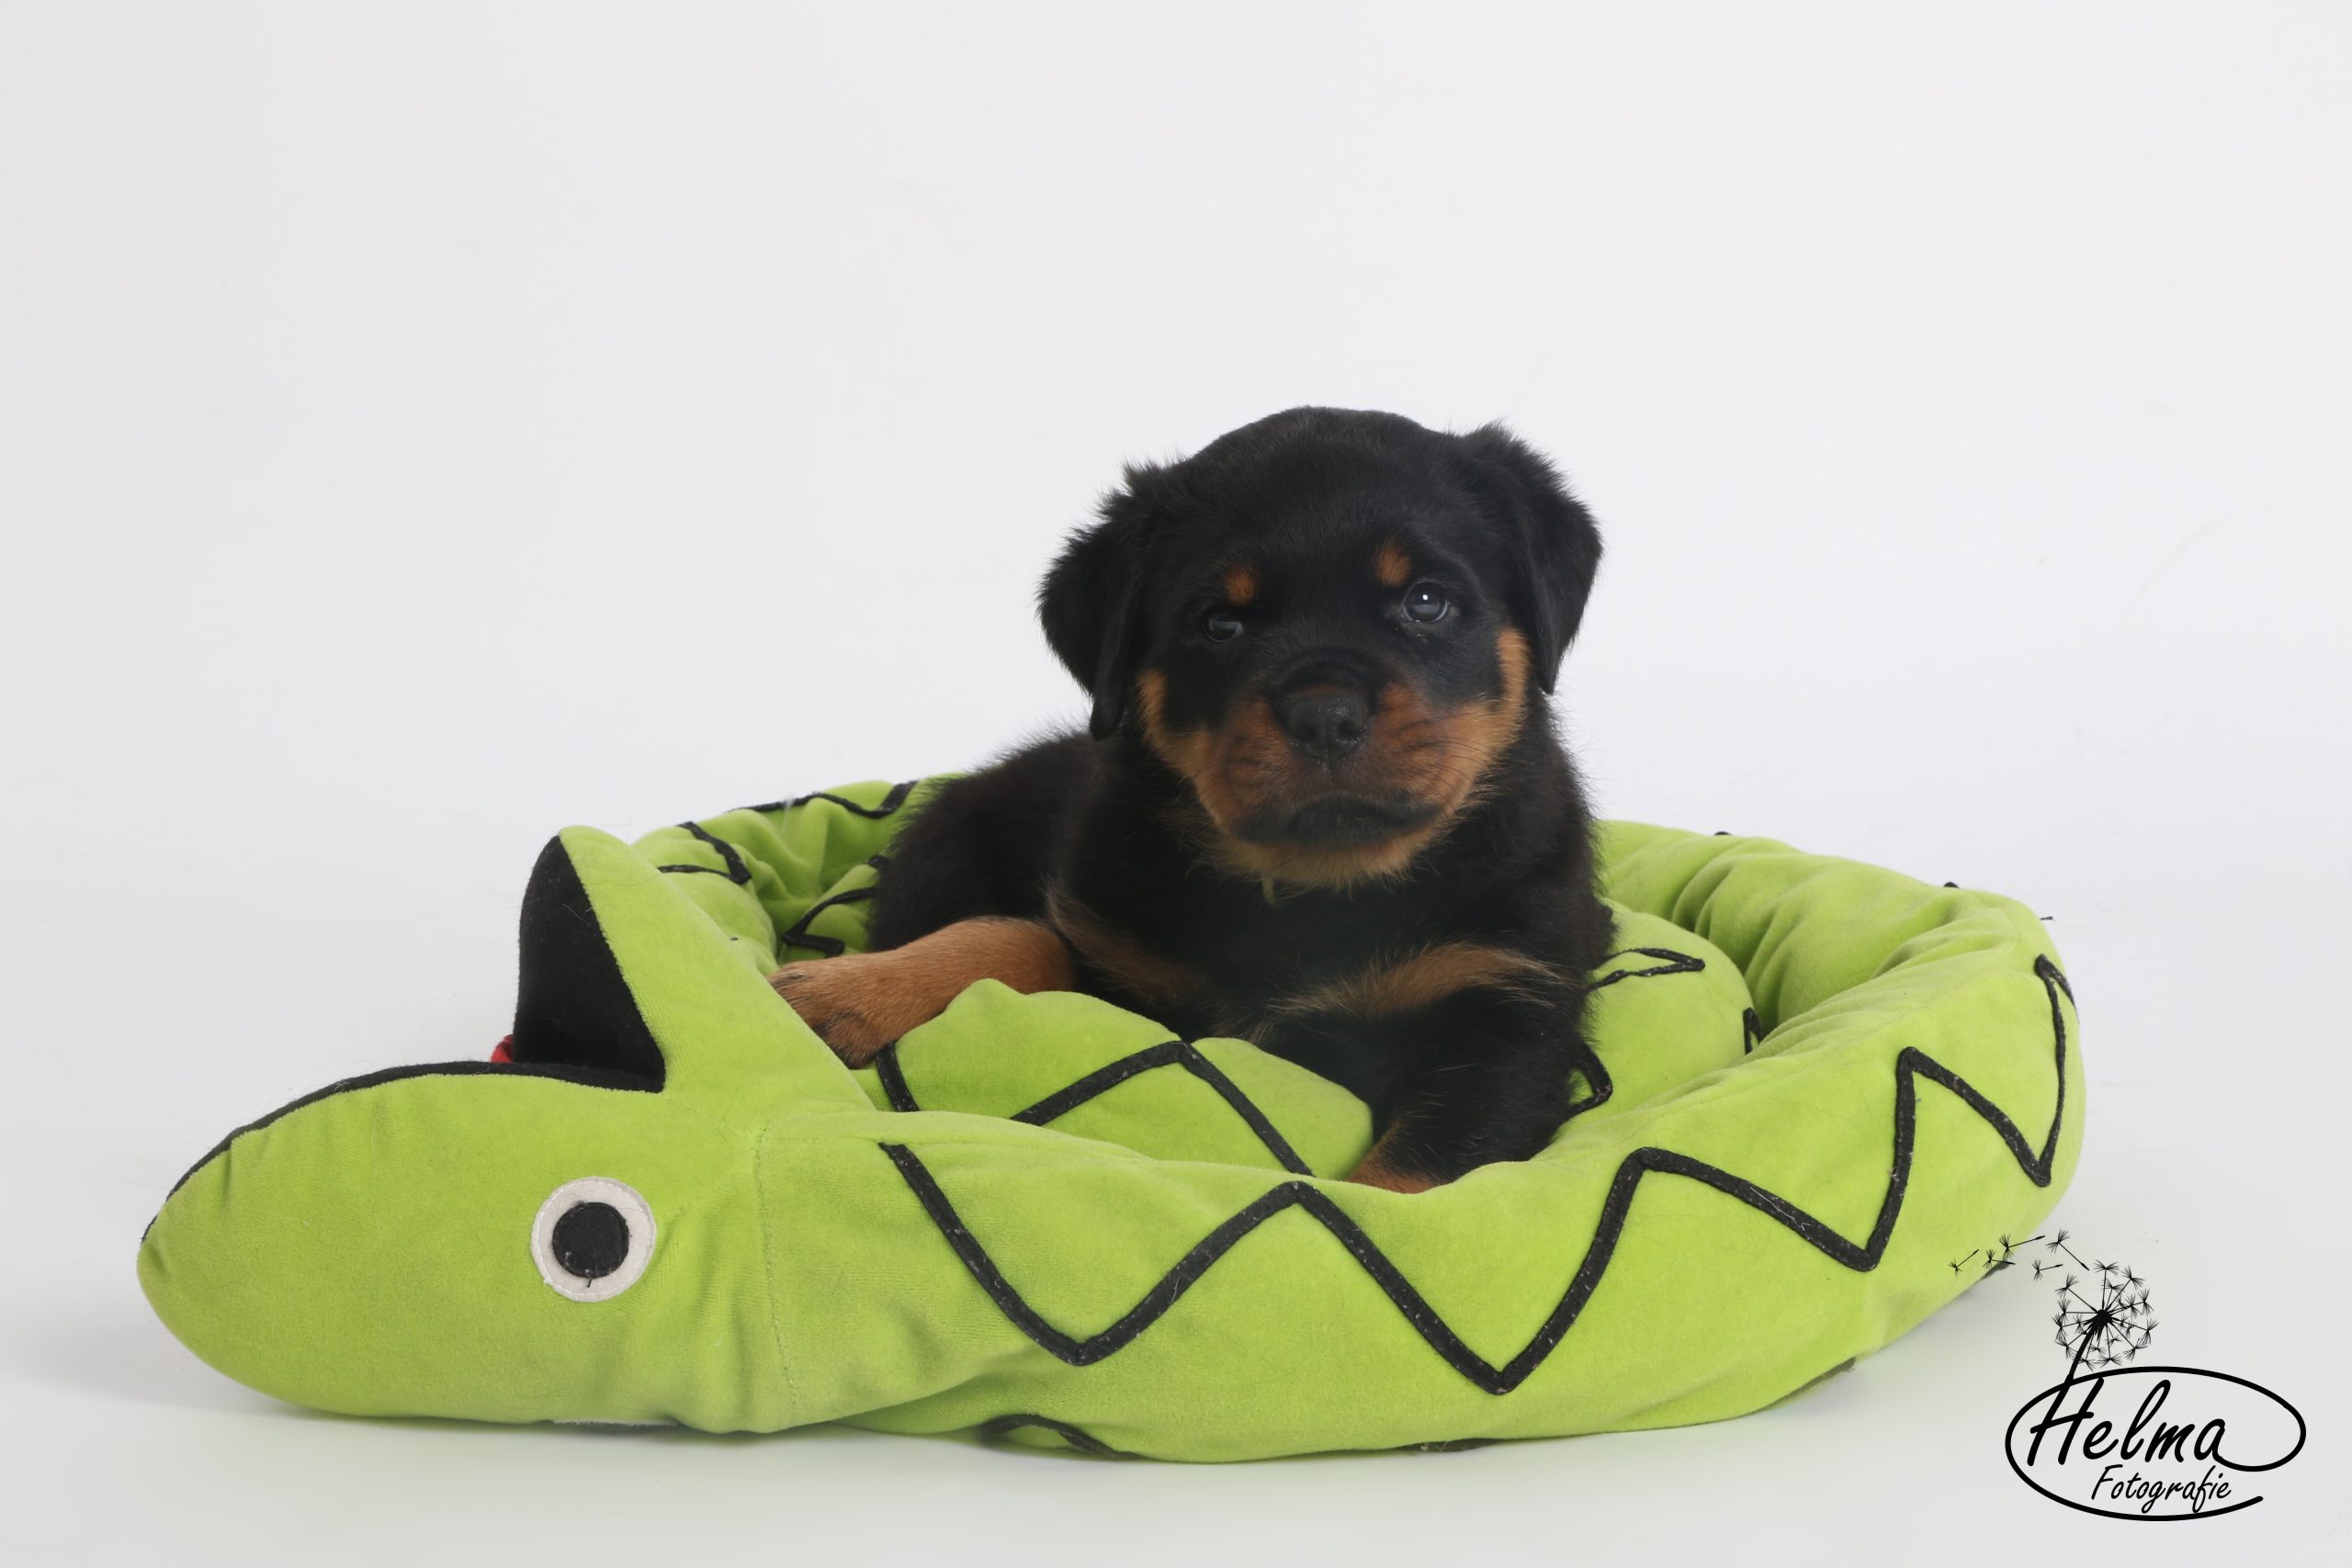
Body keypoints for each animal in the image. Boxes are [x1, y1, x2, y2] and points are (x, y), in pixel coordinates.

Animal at [770, 407, 1614, 1190]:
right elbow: (1013, 934)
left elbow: (1410, 1176)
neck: (1314, 890)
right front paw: (851, 989)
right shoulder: (1115, 957)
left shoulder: (1508, 1025)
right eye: (1220, 623)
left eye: (1427, 601)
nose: (1326, 715)